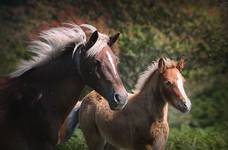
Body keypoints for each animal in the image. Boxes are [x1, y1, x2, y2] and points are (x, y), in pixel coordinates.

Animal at [61, 57, 191, 149]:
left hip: (112, 144)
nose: (186, 105)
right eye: (168, 82)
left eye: (183, 81)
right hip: (95, 141)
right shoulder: (140, 147)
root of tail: (84, 100)